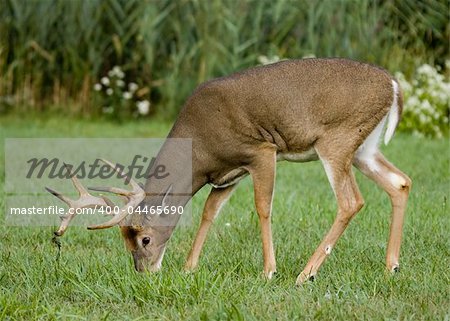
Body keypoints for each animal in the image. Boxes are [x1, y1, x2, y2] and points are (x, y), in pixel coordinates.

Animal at [46, 57, 412, 282]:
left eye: (145, 238)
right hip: (363, 148)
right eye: (125, 242)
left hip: (337, 139)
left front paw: (269, 271)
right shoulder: (228, 175)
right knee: (400, 181)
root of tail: (394, 86)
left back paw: (305, 274)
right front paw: (189, 268)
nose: (144, 273)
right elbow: (209, 211)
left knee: (351, 201)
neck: (201, 149)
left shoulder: (261, 150)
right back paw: (391, 266)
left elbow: (262, 207)